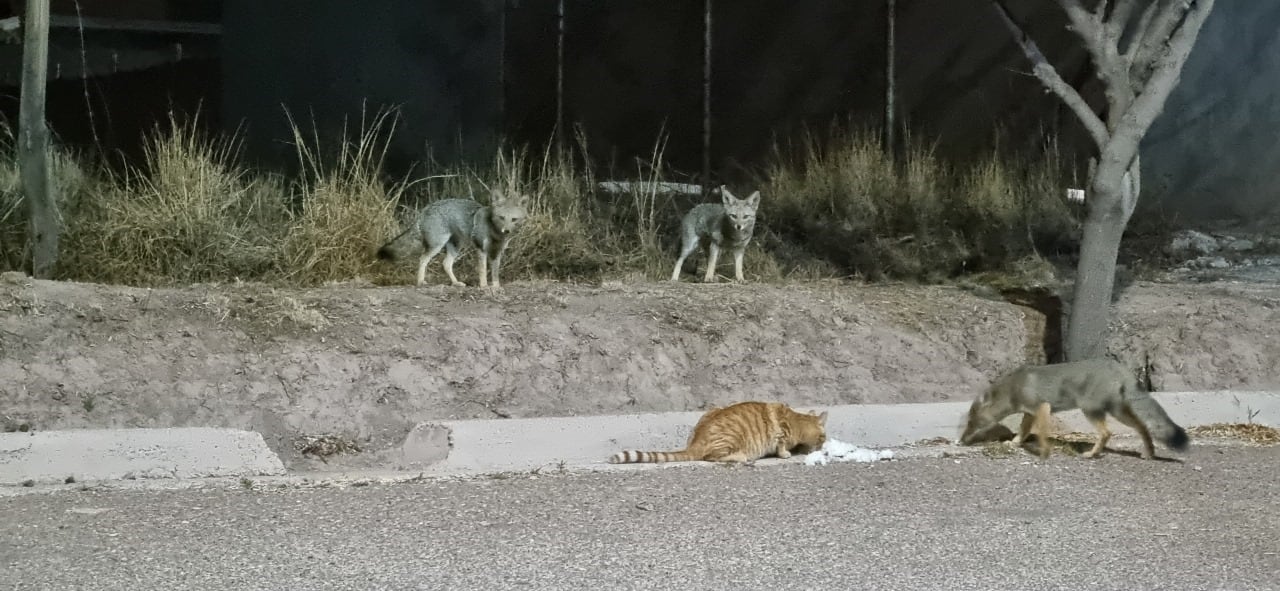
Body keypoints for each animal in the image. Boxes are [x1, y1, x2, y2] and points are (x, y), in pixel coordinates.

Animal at [373, 189, 529, 289]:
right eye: (501, 218)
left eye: (514, 220)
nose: (506, 230)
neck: (495, 232)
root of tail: (425, 210)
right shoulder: (481, 248)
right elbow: (483, 270)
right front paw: (484, 286)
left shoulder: (497, 252)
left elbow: (495, 272)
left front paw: (496, 287)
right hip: (437, 246)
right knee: (423, 259)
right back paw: (420, 281)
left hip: (455, 246)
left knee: (446, 264)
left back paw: (455, 283)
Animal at [609, 401, 829, 465]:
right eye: (823, 437)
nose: (825, 447)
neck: (795, 420)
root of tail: (694, 443)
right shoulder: (781, 433)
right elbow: (781, 445)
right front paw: (786, 453)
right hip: (731, 439)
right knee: (712, 457)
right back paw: (742, 457)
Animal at [962, 355, 1187, 460]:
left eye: (972, 422)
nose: (962, 440)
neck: (1014, 386)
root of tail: (1119, 367)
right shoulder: (1029, 412)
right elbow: (1023, 431)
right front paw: (1015, 443)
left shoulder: (1042, 408)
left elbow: (1042, 434)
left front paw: (1044, 451)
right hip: (1118, 412)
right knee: (1142, 426)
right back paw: (1148, 453)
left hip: (1091, 410)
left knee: (1107, 433)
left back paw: (1092, 454)